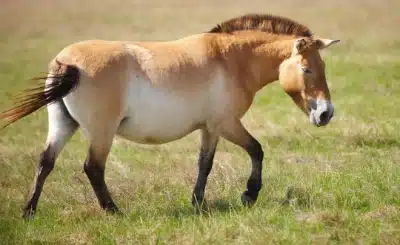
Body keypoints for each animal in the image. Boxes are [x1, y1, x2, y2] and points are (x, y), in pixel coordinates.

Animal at [0, 12, 338, 218]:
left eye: (323, 67)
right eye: (307, 69)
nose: (326, 114)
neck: (230, 60)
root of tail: (67, 62)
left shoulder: (210, 128)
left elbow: (205, 163)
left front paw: (198, 203)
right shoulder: (225, 124)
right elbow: (254, 150)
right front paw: (248, 195)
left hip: (62, 123)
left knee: (46, 162)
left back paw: (29, 212)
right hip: (101, 132)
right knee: (93, 167)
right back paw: (113, 211)